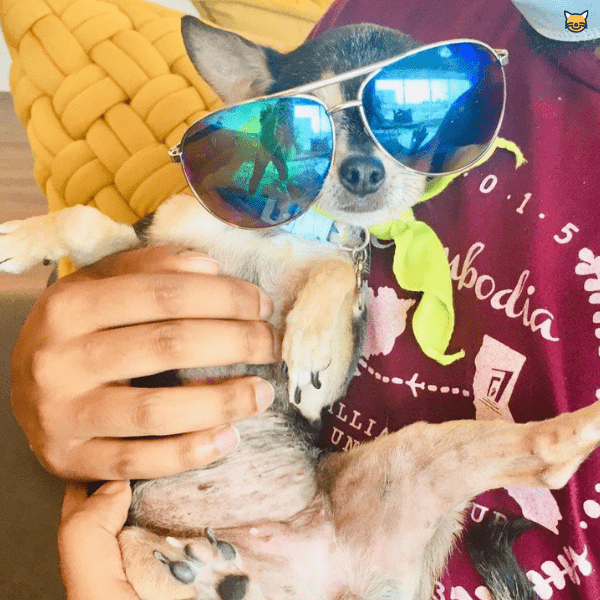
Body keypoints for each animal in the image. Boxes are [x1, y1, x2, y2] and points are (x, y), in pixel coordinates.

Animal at [3, 17, 600, 600]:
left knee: (546, 454)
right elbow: (85, 222)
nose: (363, 171)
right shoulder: (151, 247)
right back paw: (217, 576)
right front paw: (22, 238)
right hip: (136, 545)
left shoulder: (338, 323)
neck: (282, 231)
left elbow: (334, 277)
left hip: (412, 456)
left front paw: (310, 345)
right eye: (306, 122)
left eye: (415, 127)